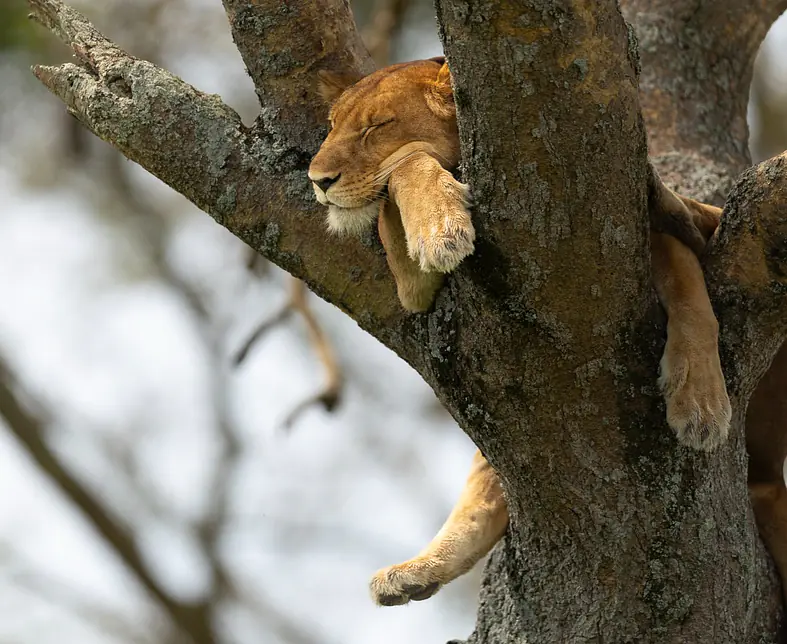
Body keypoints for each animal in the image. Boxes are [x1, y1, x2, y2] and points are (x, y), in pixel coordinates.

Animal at [308, 58, 787, 607]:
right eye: (331, 128)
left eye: (377, 126)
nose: (317, 180)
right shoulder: (417, 292)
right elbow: (404, 177)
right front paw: (440, 225)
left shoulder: (686, 230)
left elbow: (692, 298)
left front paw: (699, 405)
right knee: (484, 491)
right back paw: (413, 573)